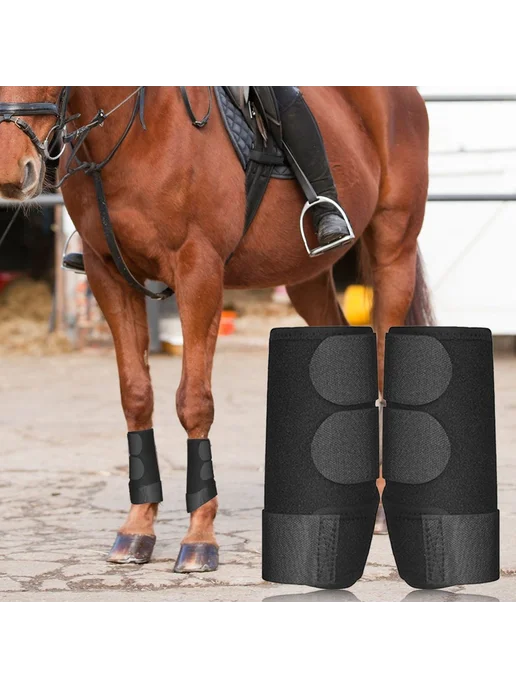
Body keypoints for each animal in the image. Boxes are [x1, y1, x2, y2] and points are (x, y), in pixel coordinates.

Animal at [0, 84, 432, 572]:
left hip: (393, 253)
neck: (137, 134)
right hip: (306, 277)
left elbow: (193, 403)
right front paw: (137, 528)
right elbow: (136, 397)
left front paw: (200, 538)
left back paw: (378, 506)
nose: (13, 171)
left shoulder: (199, 272)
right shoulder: (106, 274)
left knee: (381, 362)